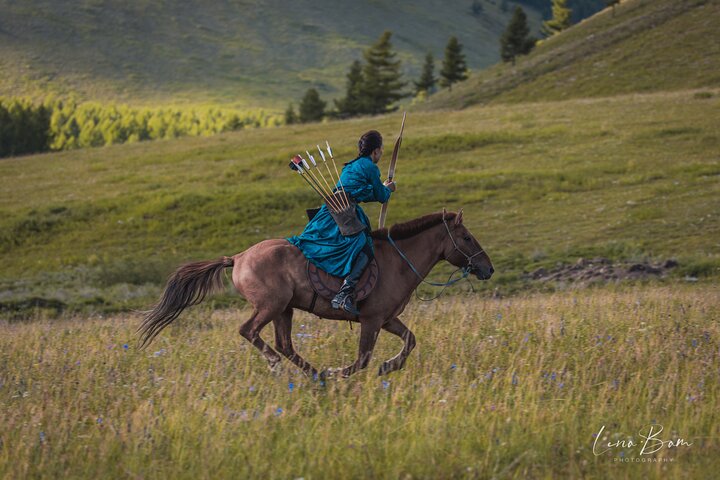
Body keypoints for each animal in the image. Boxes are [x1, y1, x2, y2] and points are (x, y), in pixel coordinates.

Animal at [138, 209, 494, 378]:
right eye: (466, 238)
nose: (487, 268)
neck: (397, 260)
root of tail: (237, 257)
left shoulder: (388, 319)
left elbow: (410, 341)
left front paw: (388, 366)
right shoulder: (371, 320)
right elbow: (362, 359)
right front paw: (340, 373)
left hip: (284, 309)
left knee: (285, 345)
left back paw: (315, 375)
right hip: (270, 306)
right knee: (250, 332)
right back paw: (286, 367)